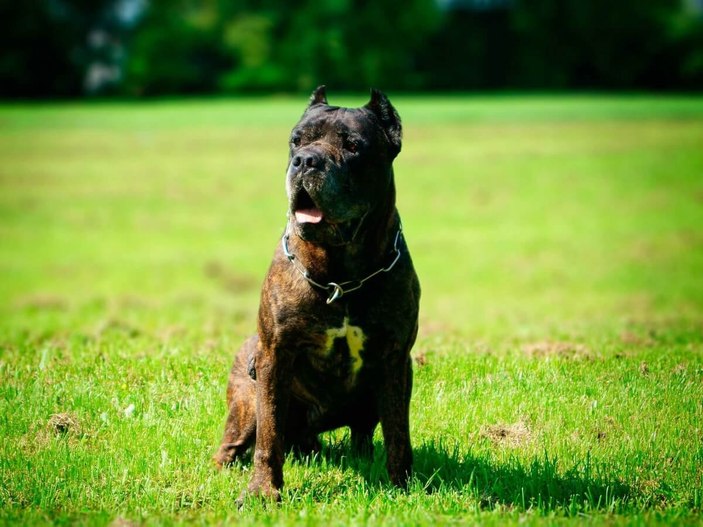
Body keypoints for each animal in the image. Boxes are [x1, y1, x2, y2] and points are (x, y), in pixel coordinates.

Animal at [214, 84, 420, 502]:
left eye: (353, 146)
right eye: (295, 141)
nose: (306, 161)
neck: (340, 277)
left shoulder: (396, 360)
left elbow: (398, 435)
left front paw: (402, 486)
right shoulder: (275, 357)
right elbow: (269, 438)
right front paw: (263, 492)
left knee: (363, 435)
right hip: (246, 402)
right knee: (236, 444)